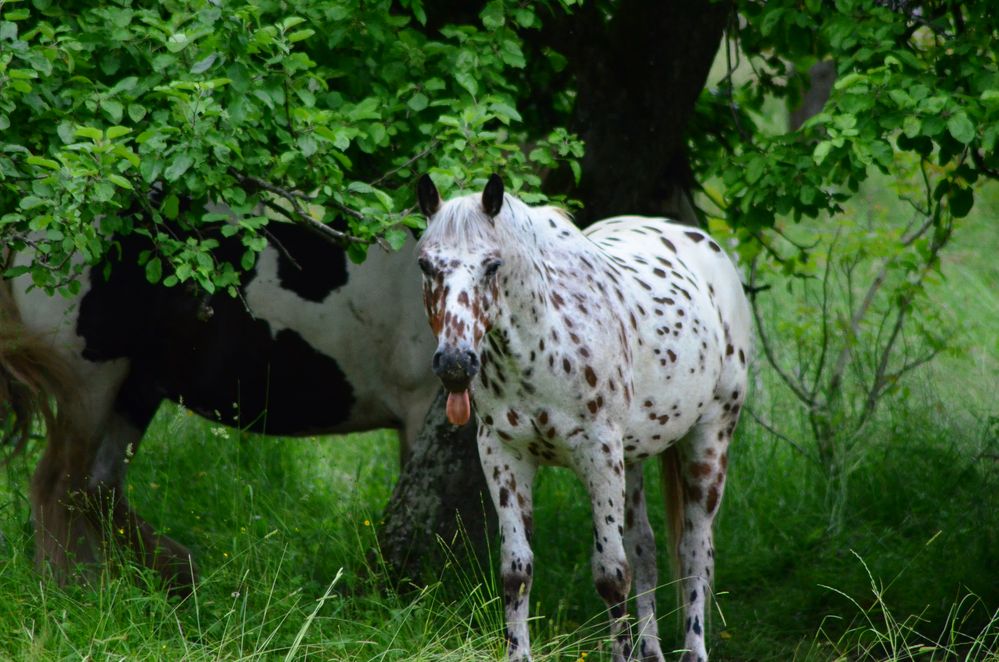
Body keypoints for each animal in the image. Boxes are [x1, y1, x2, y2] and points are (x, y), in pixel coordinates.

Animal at [0, 210, 438, 592]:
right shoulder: (421, 409)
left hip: (135, 388)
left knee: (98, 486)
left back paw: (171, 576)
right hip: (90, 382)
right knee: (59, 485)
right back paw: (73, 589)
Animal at [414, 174, 752, 660]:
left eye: (493, 265)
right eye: (426, 265)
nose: (456, 364)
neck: (542, 343)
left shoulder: (598, 453)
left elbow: (612, 575)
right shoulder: (503, 455)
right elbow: (516, 572)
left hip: (710, 438)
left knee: (694, 553)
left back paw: (694, 650)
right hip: (634, 456)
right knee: (646, 546)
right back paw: (652, 650)